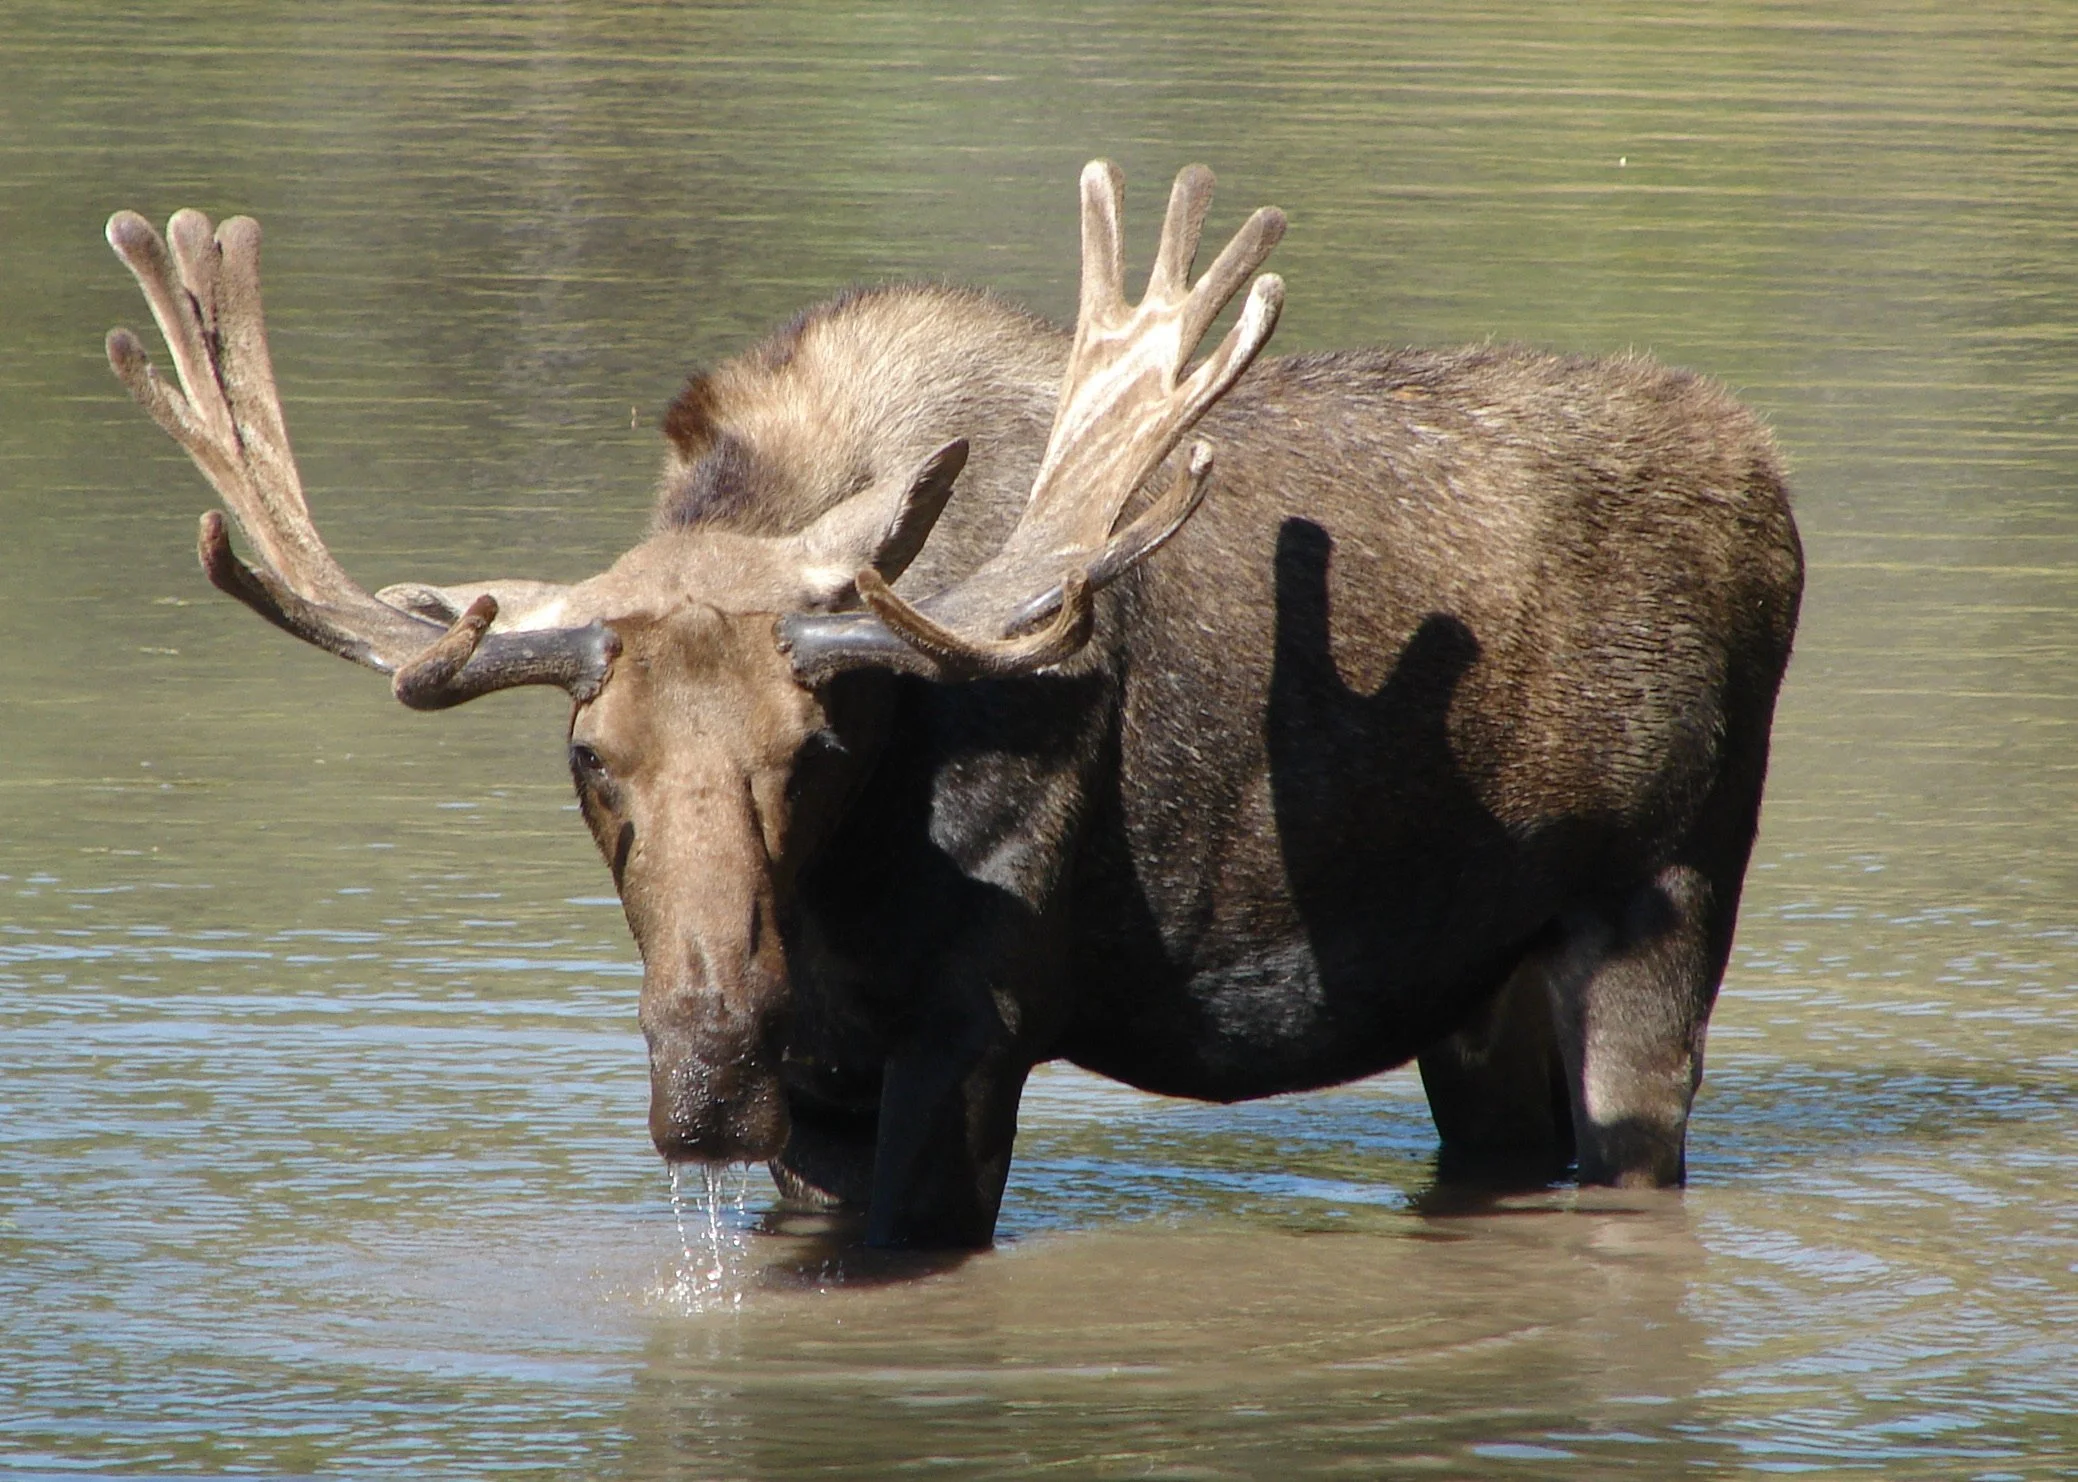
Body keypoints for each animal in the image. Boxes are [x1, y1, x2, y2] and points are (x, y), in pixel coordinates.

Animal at [105, 162, 1802, 1248]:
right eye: (590, 755)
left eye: (812, 746)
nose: (705, 1081)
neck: (843, 893)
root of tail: (1772, 485)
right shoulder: (825, 1073)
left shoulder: (974, 1022)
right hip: (1474, 978)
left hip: (1660, 898)